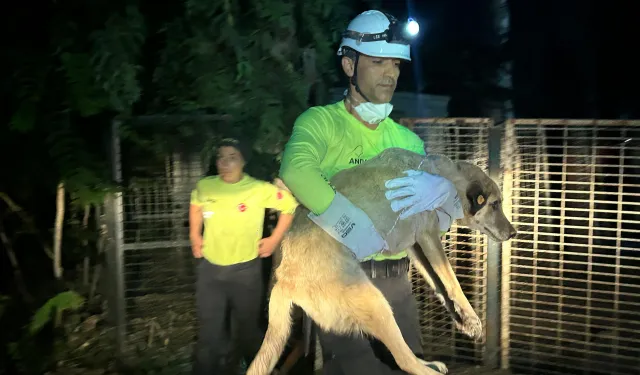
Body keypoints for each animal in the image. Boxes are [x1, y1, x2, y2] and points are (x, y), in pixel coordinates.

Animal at [248, 147, 516, 375]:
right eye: (495, 204)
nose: (513, 233)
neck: (445, 176)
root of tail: (285, 279)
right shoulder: (428, 236)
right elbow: (452, 282)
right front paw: (472, 317)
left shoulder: (416, 248)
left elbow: (439, 285)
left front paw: (464, 321)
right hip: (376, 304)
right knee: (404, 361)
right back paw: (426, 368)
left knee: (405, 355)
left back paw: (428, 362)